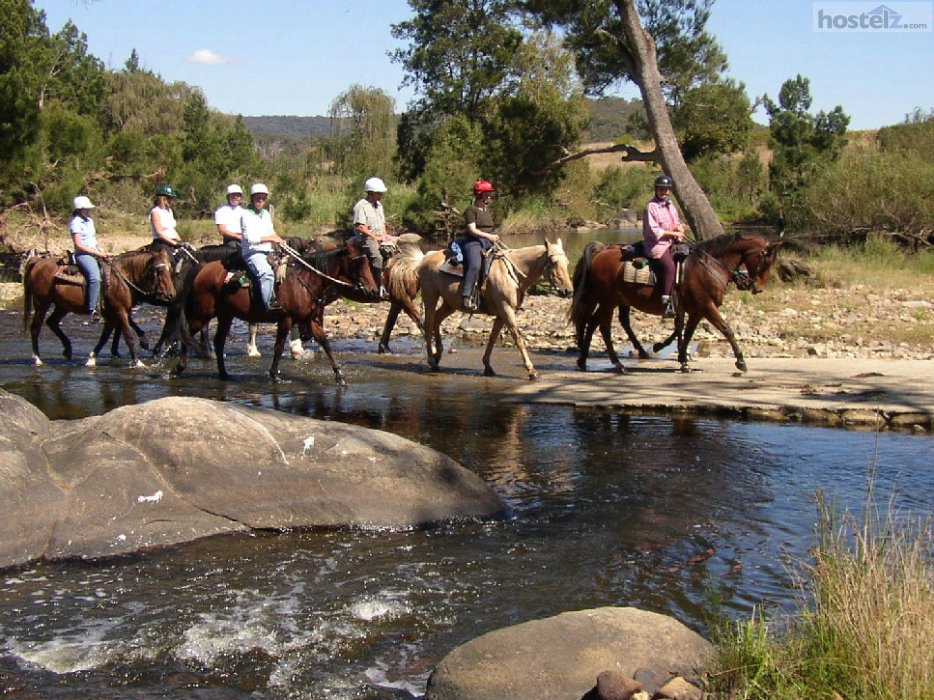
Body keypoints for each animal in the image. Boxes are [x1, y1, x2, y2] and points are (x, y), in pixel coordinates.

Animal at [23, 246, 177, 366]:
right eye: (160, 271)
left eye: (170, 270)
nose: (171, 294)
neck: (122, 278)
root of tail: (38, 262)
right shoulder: (120, 310)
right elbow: (128, 336)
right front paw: (138, 362)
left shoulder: (112, 314)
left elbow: (104, 337)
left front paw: (91, 359)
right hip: (42, 302)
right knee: (35, 327)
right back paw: (37, 358)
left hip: (62, 306)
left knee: (52, 322)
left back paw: (67, 350)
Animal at [172, 241, 380, 382]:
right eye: (356, 262)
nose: (372, 290)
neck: (304, 281)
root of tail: (202, 267)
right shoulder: (285, 319)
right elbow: (279, 347)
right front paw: (274, 375)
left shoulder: (312, 320)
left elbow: (326, 344)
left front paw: (339, 376)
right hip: (203, 313)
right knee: (187, 333)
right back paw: (178, 369)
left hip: (226, 315)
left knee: (218, 341)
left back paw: (224, 374)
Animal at [412, 241, 576, 382]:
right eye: (554, 262)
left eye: (567, 262)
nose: (568, 291)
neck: (512, 273)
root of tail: (425, 258)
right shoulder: (506, 309)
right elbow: (518, 338)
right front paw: (532, 371)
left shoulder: (501, 314)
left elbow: (492, 338)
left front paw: (487, 366)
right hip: (430, 296)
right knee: (428, 325)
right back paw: (432, 360)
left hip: (450, 304)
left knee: (436, 320)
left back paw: (438, 354)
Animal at [572, 231, 784, 374]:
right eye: (766, 261)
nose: (758, 287)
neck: (707, 266)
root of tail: (601, 251)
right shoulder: (706, 306)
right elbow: (726, 328)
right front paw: (740, 361)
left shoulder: (696, 310)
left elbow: (686, 332)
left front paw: (682, 360)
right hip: (608, 300)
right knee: (605, 328)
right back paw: (617, 364)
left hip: (611, 300)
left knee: (594, 323)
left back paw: (583, 361)